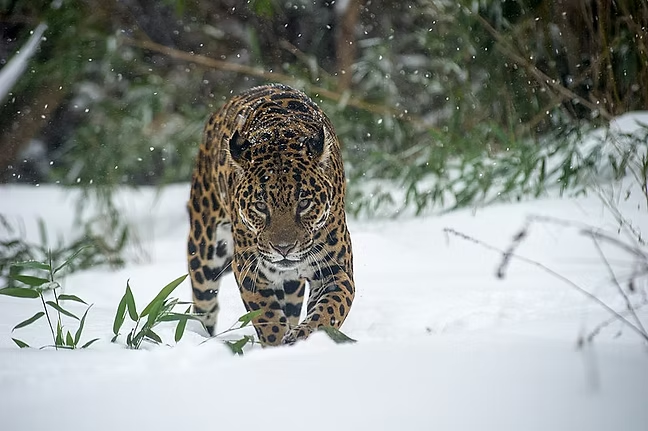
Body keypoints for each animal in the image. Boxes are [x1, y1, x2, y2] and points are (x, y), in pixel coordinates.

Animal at [187, 83, 355, 346]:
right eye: (260, 206)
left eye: (304, 203)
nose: (283, 248)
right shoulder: (249, 269)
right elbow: (268, 318)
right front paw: (277, 346)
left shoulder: (335, 270)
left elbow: (328, 312)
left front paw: (302, 338)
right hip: (205, 249)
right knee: (204, 306)